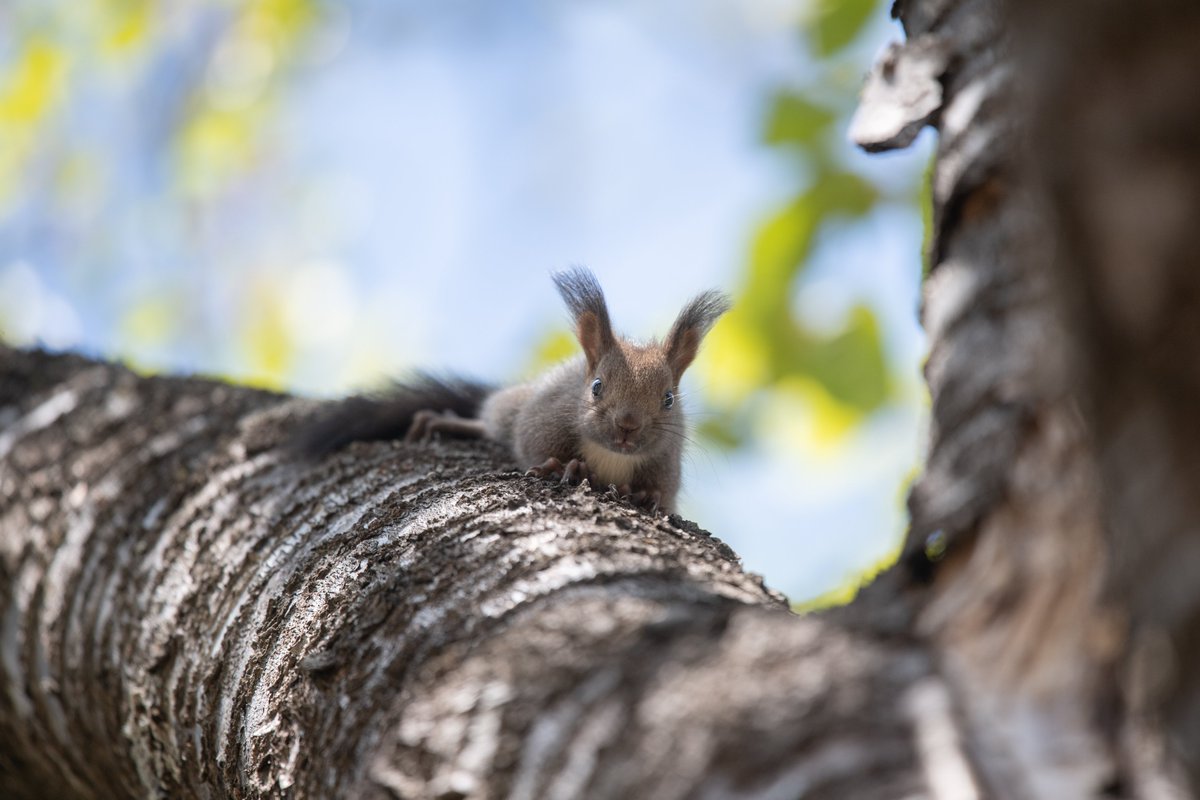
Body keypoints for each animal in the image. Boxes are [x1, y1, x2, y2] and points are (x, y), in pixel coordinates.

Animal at [300, 266, 729, 515]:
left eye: (669, 399)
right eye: (596, 386)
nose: (628, 425)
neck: (612, 456)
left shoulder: (665, 461)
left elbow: (663, 495)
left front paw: (646, 496)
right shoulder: (543, 418)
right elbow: (533, 446)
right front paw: (570, 467)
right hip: (514, 405)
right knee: (491, 419)